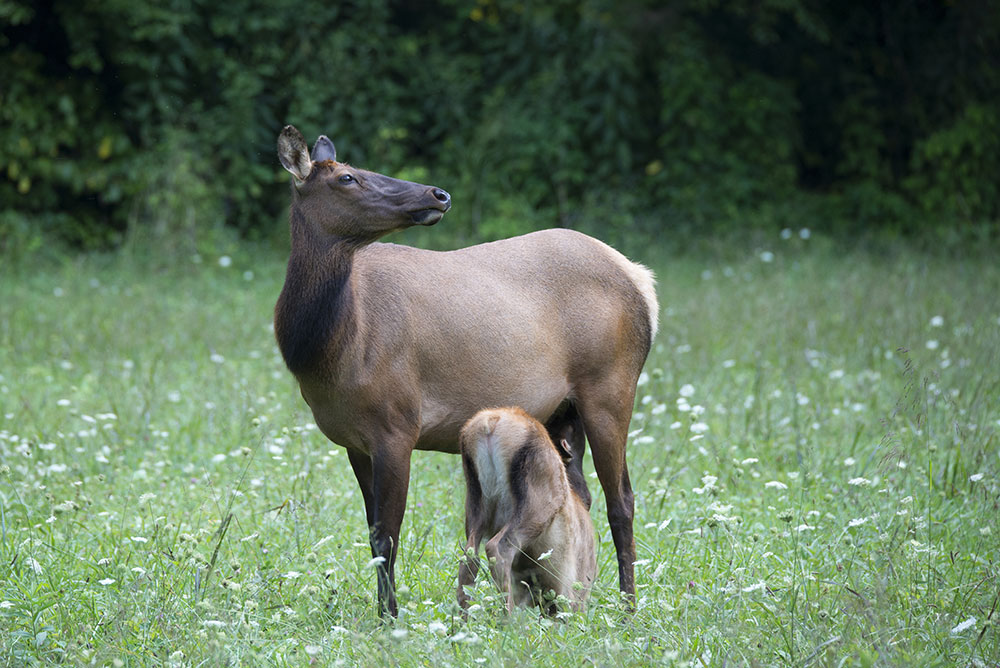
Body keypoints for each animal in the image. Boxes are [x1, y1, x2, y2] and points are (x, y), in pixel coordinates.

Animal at [274, 125, 656, 616]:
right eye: (347, 177)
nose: (437, 194)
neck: (326, 351)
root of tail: (642, 281)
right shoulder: (353, 440)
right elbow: (373, 534)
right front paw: (385, 610)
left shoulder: (397, 424)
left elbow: (388, 534)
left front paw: (390, 616)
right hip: (561, 411)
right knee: (580, 494)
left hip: (611, 387)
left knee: (621, 499)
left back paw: (627, 607)